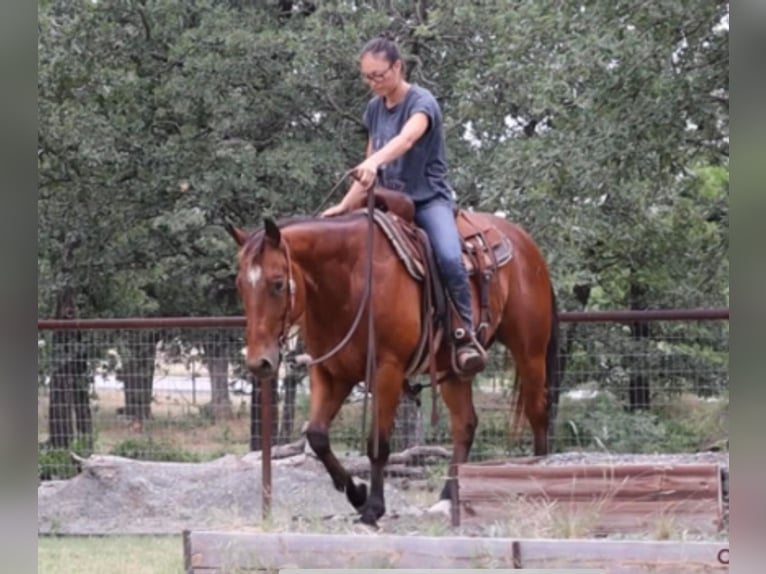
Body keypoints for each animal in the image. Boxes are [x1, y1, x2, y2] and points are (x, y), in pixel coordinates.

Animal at [225, 192, 560, 528]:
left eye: (278, 283)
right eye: (240, 285)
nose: (259, 363)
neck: (350, 279)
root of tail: (526, 244)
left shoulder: (387, 370)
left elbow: (378, 443)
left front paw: (373, 507)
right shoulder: (331, 372)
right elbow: (317, 435)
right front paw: (357, 495)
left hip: (530, 351)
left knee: (537, 412)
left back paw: (539, 479)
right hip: (454, 370)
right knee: (465, 424)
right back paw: (448, 497)